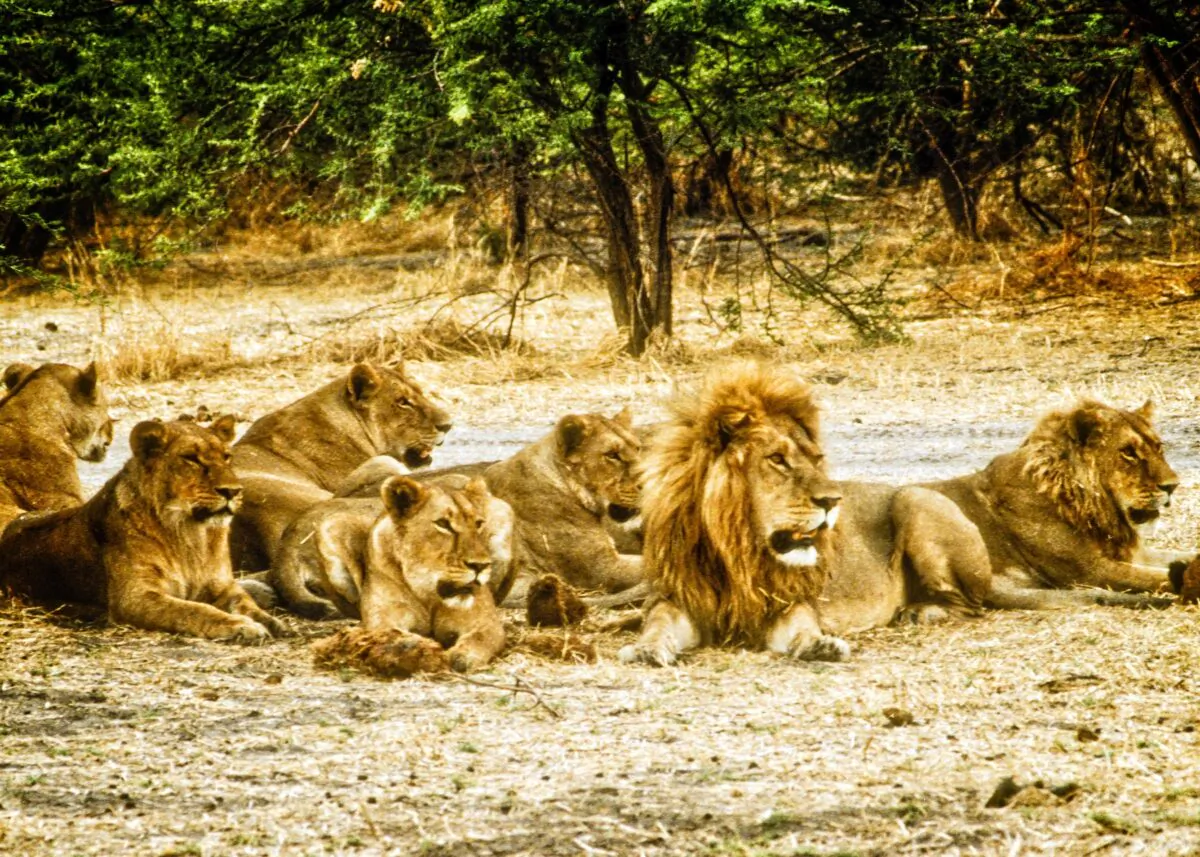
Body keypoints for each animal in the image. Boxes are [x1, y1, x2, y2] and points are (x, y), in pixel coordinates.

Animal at [0, 416, 290, 643]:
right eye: (191, 459)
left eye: (227, 457)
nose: (233, 491)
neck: (190, 533)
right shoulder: (134, 598)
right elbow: (194, 610)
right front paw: (242, 626)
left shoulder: (221, 586)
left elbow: (244, 602)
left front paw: (271, 622)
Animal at [274, 475, 506, 672]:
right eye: (443, 524)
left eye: (478, 523)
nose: (481, 566)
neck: (429, 592)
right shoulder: (383, 618)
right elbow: (394, 634)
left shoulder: (486, 622)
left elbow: (480, 639)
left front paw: (460, 657)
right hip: (332, 525)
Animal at [620, 361, 992, 666]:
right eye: (777, 459)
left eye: (815, 459)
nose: (833, 500)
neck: (735, 548)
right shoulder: (673, 596)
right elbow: (657, 625)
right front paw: (645, 649)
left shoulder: (790, 601)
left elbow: (802, 626)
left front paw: (820, 644)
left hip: (914, 499)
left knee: (972, 605)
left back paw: (919, 612)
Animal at [924, 399, 1184, 607]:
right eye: (1128, 452)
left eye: (1158, 447)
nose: (1173, 485)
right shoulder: (1091, 571)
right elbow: (1154, 577)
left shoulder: (1128, 554)